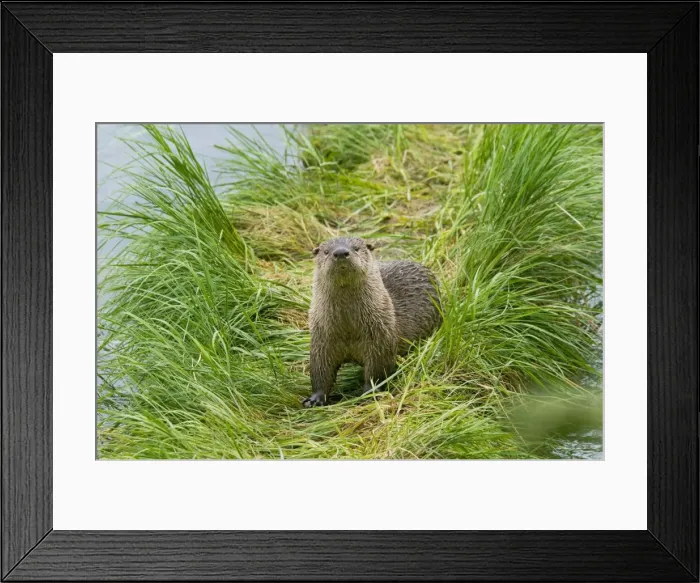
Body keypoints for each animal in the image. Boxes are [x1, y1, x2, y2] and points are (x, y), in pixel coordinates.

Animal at [304, 236, 441, 407]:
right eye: (326, 251)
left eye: (356, 248)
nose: (341, 252)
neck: (348, 329)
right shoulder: (321, 340)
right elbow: (320, 371)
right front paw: (315, 399)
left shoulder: (381, 339)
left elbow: (377, 371)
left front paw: (369, 394)